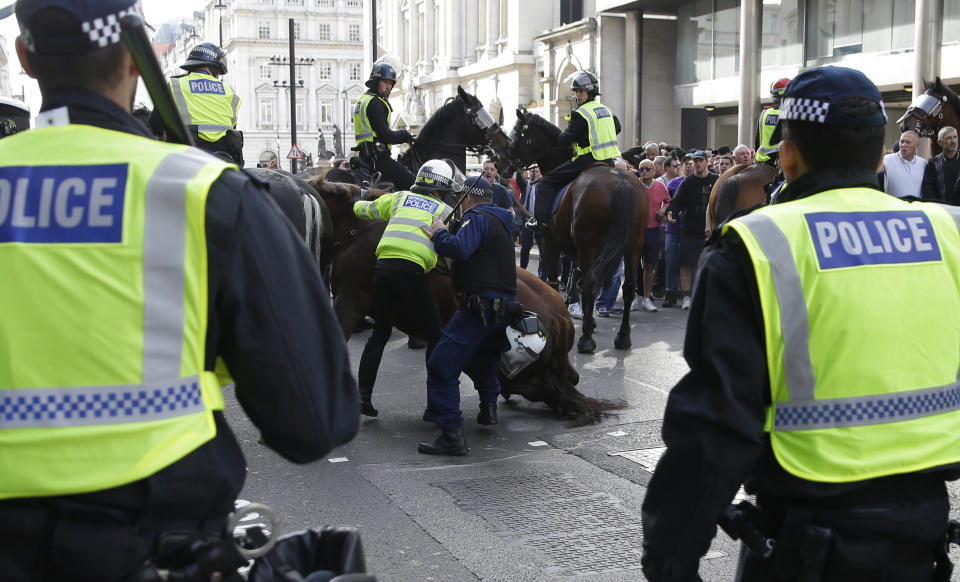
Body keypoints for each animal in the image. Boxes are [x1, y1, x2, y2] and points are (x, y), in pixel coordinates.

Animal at [498, 108, 648, 356]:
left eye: (517, 133)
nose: (501, 164)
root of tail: (621, 182)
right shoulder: (576, 251)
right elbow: (575, 280)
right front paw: (589, 320)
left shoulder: (550, 242)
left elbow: (553, 282)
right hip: (632, 247)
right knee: (627, 289)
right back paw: (622, 337)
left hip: (590, 246)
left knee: (591, 285)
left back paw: (586, 340)